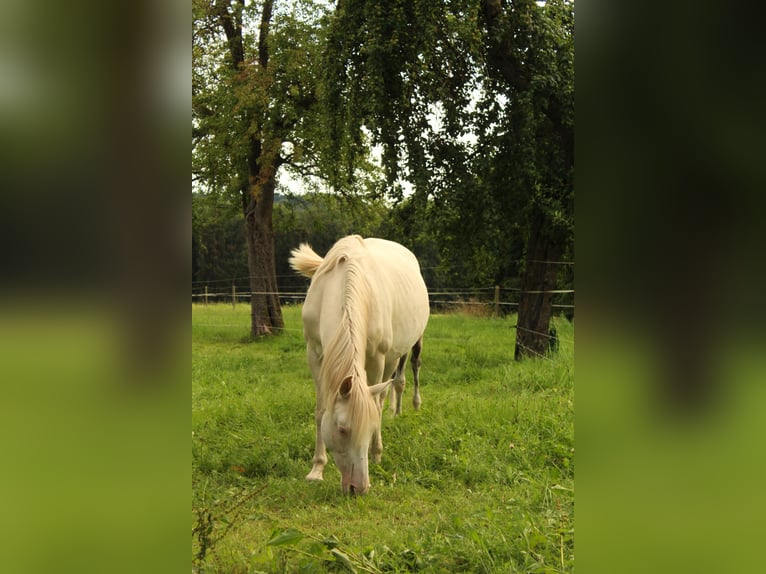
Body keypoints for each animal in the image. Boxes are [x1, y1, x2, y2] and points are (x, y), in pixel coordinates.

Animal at [290, 236, 432, 498]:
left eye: (369, 428)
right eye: (342, 429)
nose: (359, 487)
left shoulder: (377, 358)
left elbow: (375, 405)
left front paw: (376, 454)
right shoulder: (314, 353)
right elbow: (320, 411)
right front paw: (317, 470)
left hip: (406, 346)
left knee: (406, 373)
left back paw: (412, 407)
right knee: (397, 382)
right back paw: (396, 412)